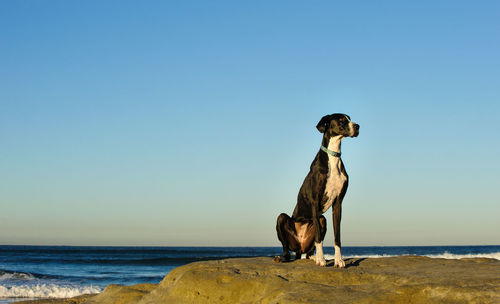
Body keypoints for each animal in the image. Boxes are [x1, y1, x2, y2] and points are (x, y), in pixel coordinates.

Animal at [274, 113, 360, 268]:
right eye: (341, 120)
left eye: (350, 119)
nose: (357, 126)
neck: (333, 156)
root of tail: (299, 248)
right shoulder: (315, 201)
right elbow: (318, 236)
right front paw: (321, 259)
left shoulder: (338, 204)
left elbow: (337, 235)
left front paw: (339, 260)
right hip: (282, 220)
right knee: (286, 248)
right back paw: (282, 257)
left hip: (321, 220)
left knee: (308, 253)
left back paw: (312, 257)